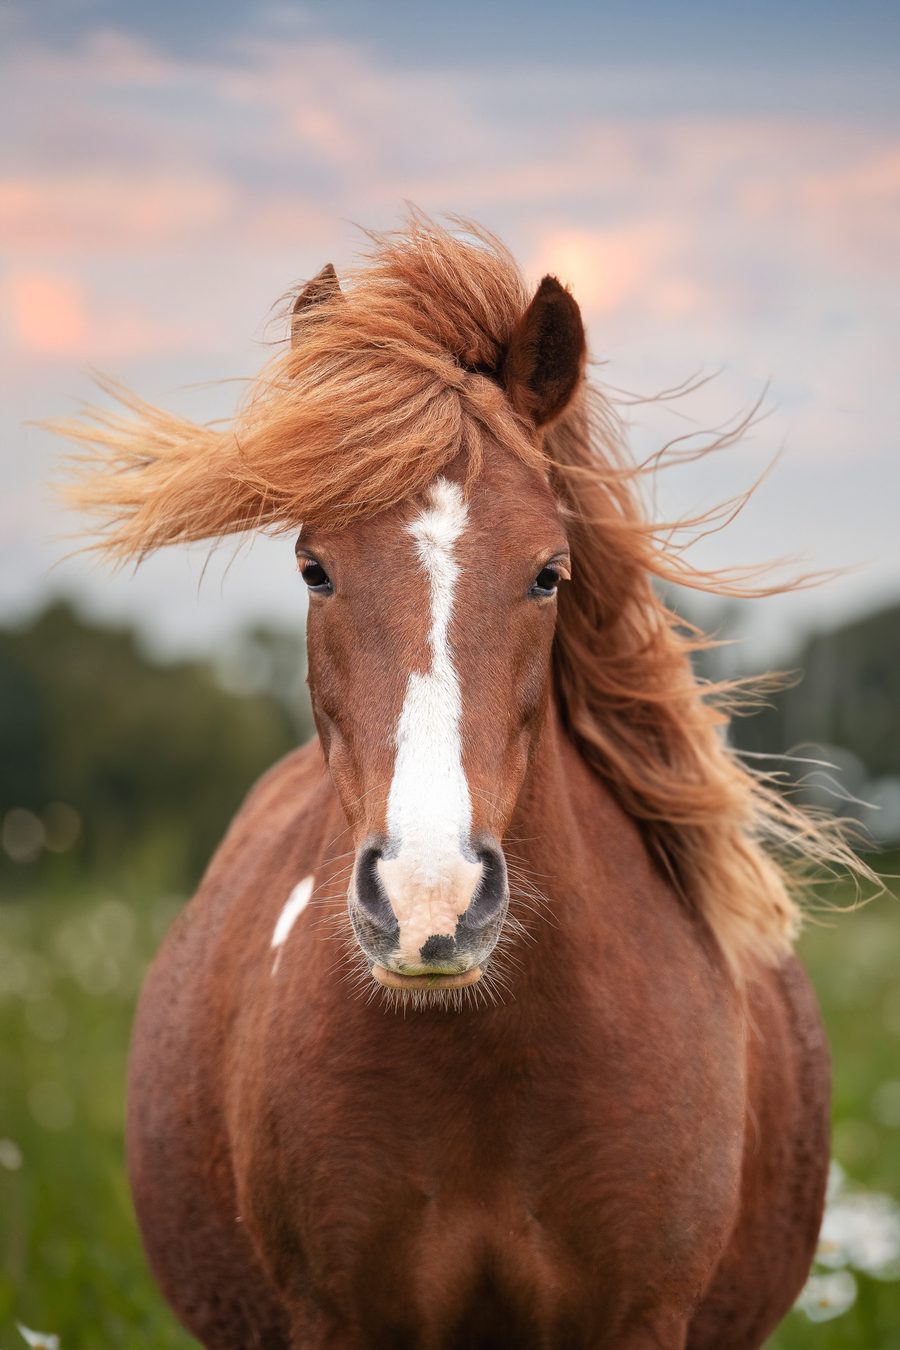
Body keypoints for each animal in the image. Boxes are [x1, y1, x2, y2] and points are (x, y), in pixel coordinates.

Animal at [57, 215, 854, 1348]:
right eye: (314, 567)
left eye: (550, 572)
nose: (427, 906)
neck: (489, 1065)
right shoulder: (336, 1320)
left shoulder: (644, 1318)